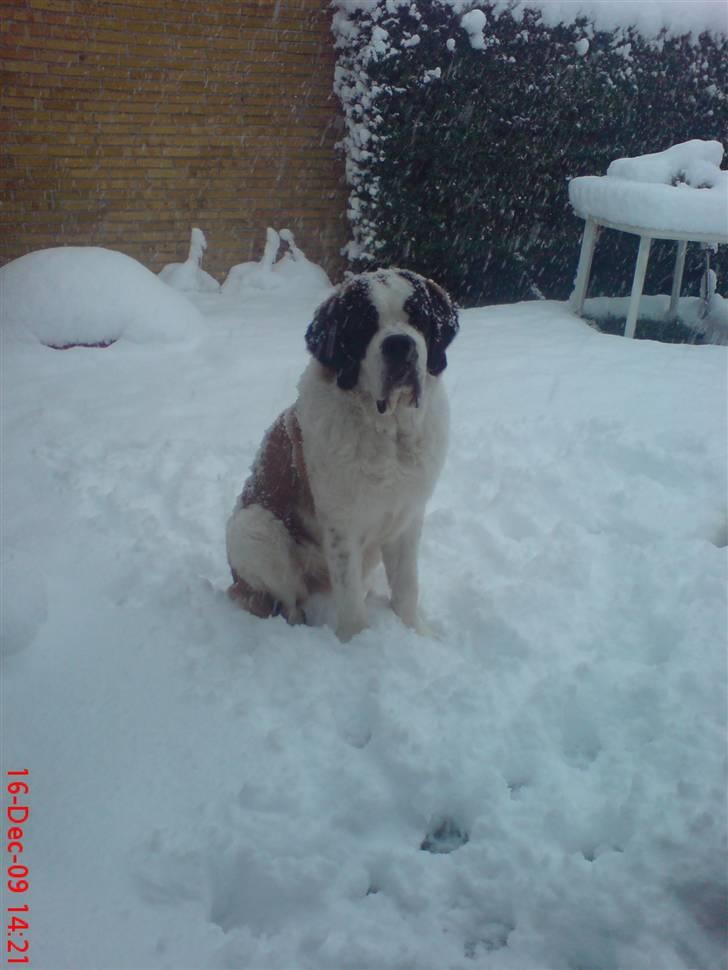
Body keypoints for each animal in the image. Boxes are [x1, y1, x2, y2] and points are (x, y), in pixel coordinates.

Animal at [225, 268, 458, 640]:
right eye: (364, 325)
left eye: (418, 318)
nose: (399, 344)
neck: (389, 432)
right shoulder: (341, 526)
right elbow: (349, 596)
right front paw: (358, 642)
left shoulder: (408, 516)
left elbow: (407, 586)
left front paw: (415, 632)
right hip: (253, 528)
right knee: (289, 600)